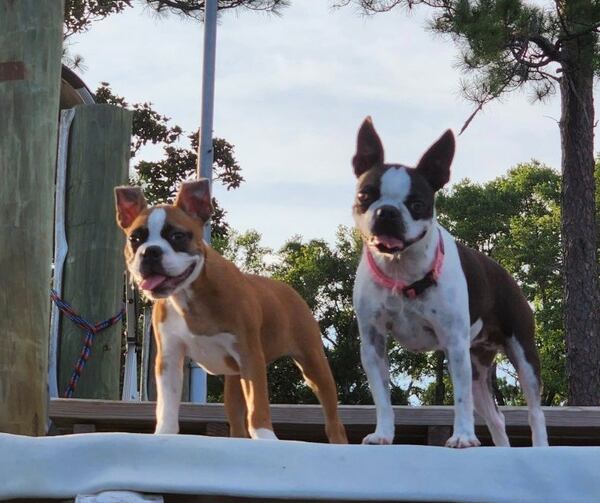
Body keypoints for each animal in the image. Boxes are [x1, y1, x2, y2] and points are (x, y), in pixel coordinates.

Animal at [114, 181, 346, 444]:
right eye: (135, 238)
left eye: (177, 236)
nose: (150, 251)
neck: (189, 296)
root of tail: (286, 288)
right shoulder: (169, 358)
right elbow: (167, 404)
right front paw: (164, 433)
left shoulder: (250, 356)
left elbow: (258, 405)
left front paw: (266, 437)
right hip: (235, 381)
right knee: (236, 422)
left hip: (314, 365)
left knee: (333, 420)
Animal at [352, 118, 548, 448]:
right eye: (365, 196)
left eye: (417, 204)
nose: (387, 211)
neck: (402, 270)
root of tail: (506, 273)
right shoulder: (373, 344)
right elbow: (382, 397)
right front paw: (383, 434)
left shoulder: (454, 344)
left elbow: (459, 400)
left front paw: (463, 437)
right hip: (477, 368)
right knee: (496, 417)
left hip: (523, 354)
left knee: (535, 411)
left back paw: (540, 446)